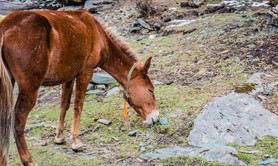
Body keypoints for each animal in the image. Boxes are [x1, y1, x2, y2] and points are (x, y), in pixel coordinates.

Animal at [0, 9, 160, 165]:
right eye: (150, 90)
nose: (156, 117)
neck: (98, 33)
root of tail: (5, 28)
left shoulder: (69, 76)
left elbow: (64, 105)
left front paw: (59, 137)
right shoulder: (85, 73)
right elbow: (78, 106)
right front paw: (76, 142)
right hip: (30, 88)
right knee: (19, 120)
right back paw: (28, 160)